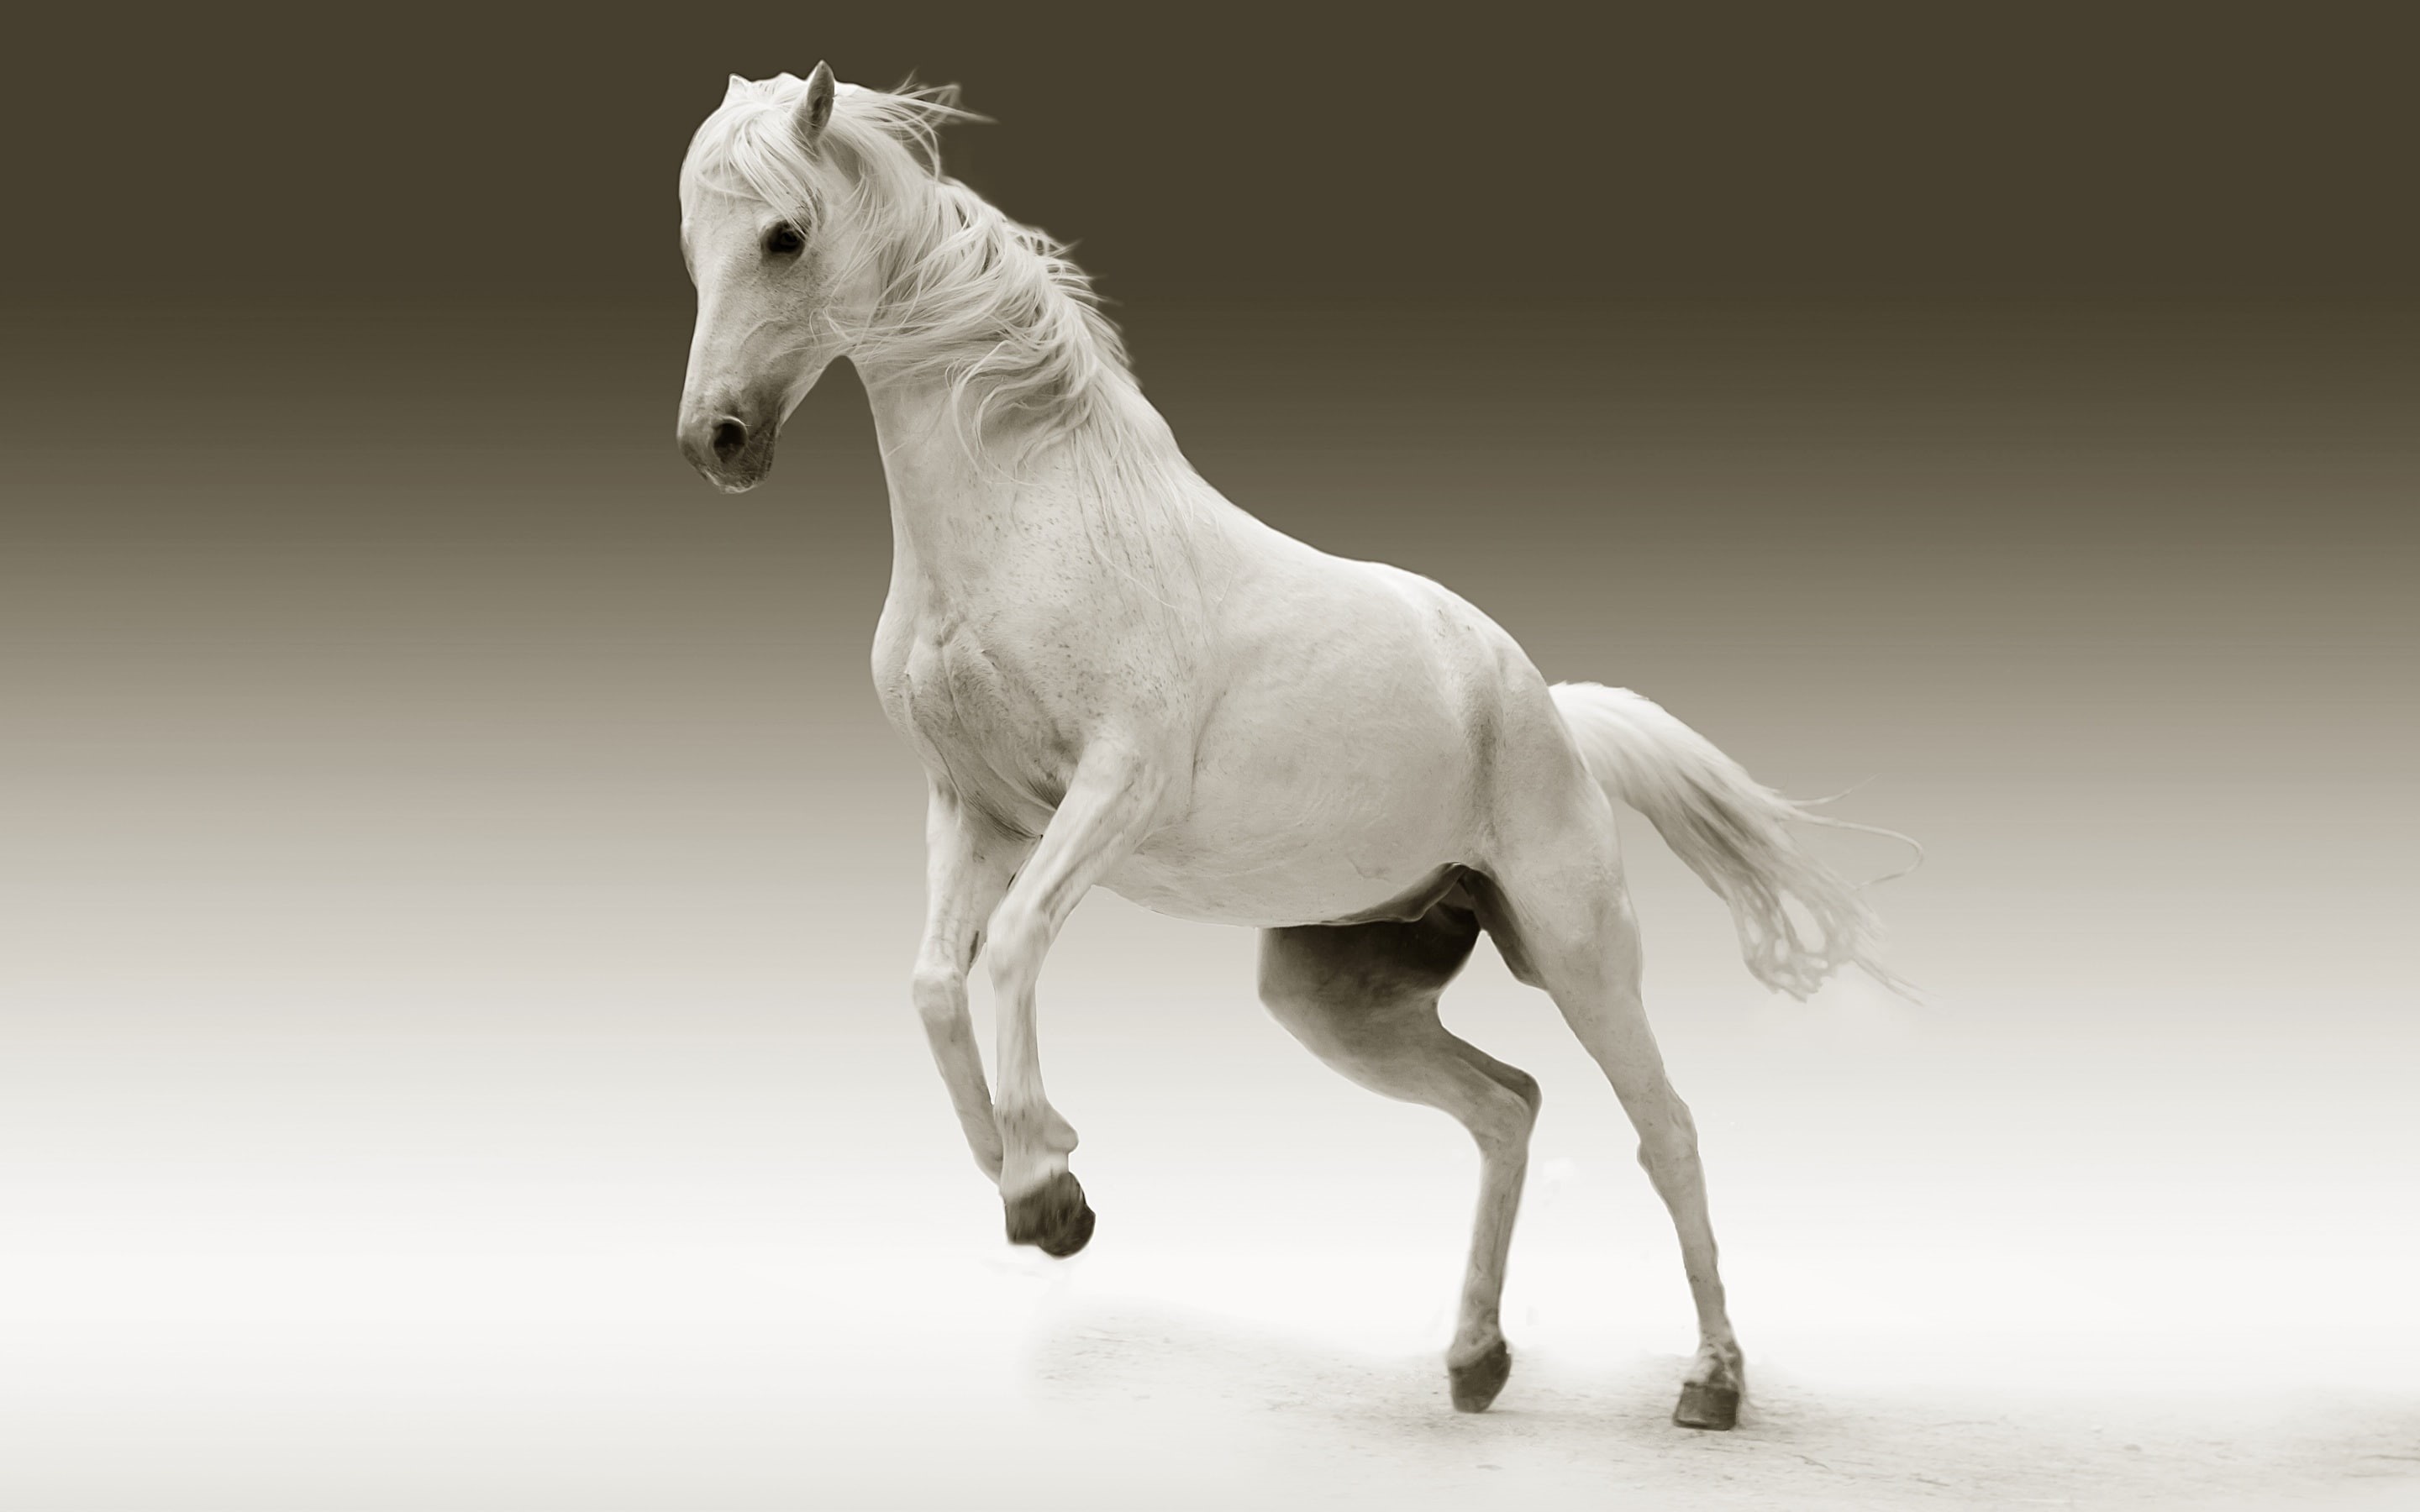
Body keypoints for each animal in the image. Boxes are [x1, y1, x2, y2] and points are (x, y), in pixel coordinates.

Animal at [672, 65, 1914, 1432]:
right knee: (1507, 1108)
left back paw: (1713, 1382)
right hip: (1337, 995)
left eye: (785, 236)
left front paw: (1048, 1186)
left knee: (1668, 1130)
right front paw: (1032, 1187)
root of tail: (1547, 709)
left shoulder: (1113, 790)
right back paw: (1475, 1360)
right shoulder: (975, 808)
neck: (1032, 519)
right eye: (692, 242)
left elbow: (1013, 949)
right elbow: (937, 983)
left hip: (1579, 950)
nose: (715, 441)